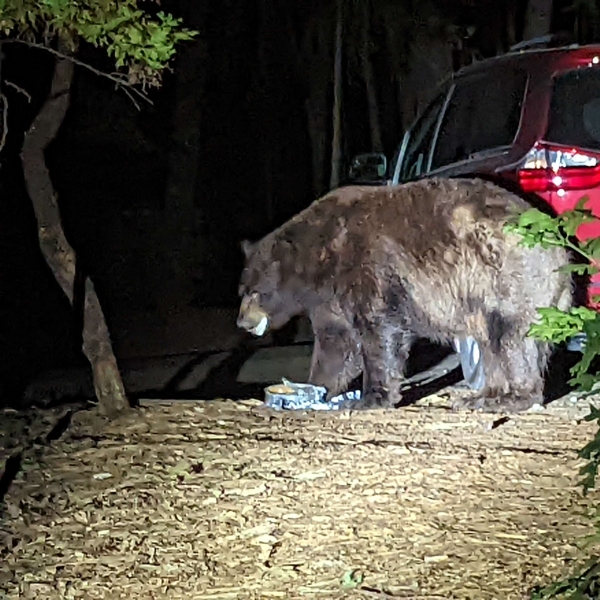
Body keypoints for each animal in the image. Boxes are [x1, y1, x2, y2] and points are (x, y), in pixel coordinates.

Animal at [237, 177, 576, 412]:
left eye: (255, 292)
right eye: (242, 290)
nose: (242, 322)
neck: (318, 260)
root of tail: (563, 253)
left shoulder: (367, 265)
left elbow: (378, 331)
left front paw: (370, 398)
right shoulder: (327, 300)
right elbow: (337, 342)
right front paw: (315, 388)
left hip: (506, 276)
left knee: (509, 337)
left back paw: (509, 397)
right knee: (492, 344)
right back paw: (483, 395)